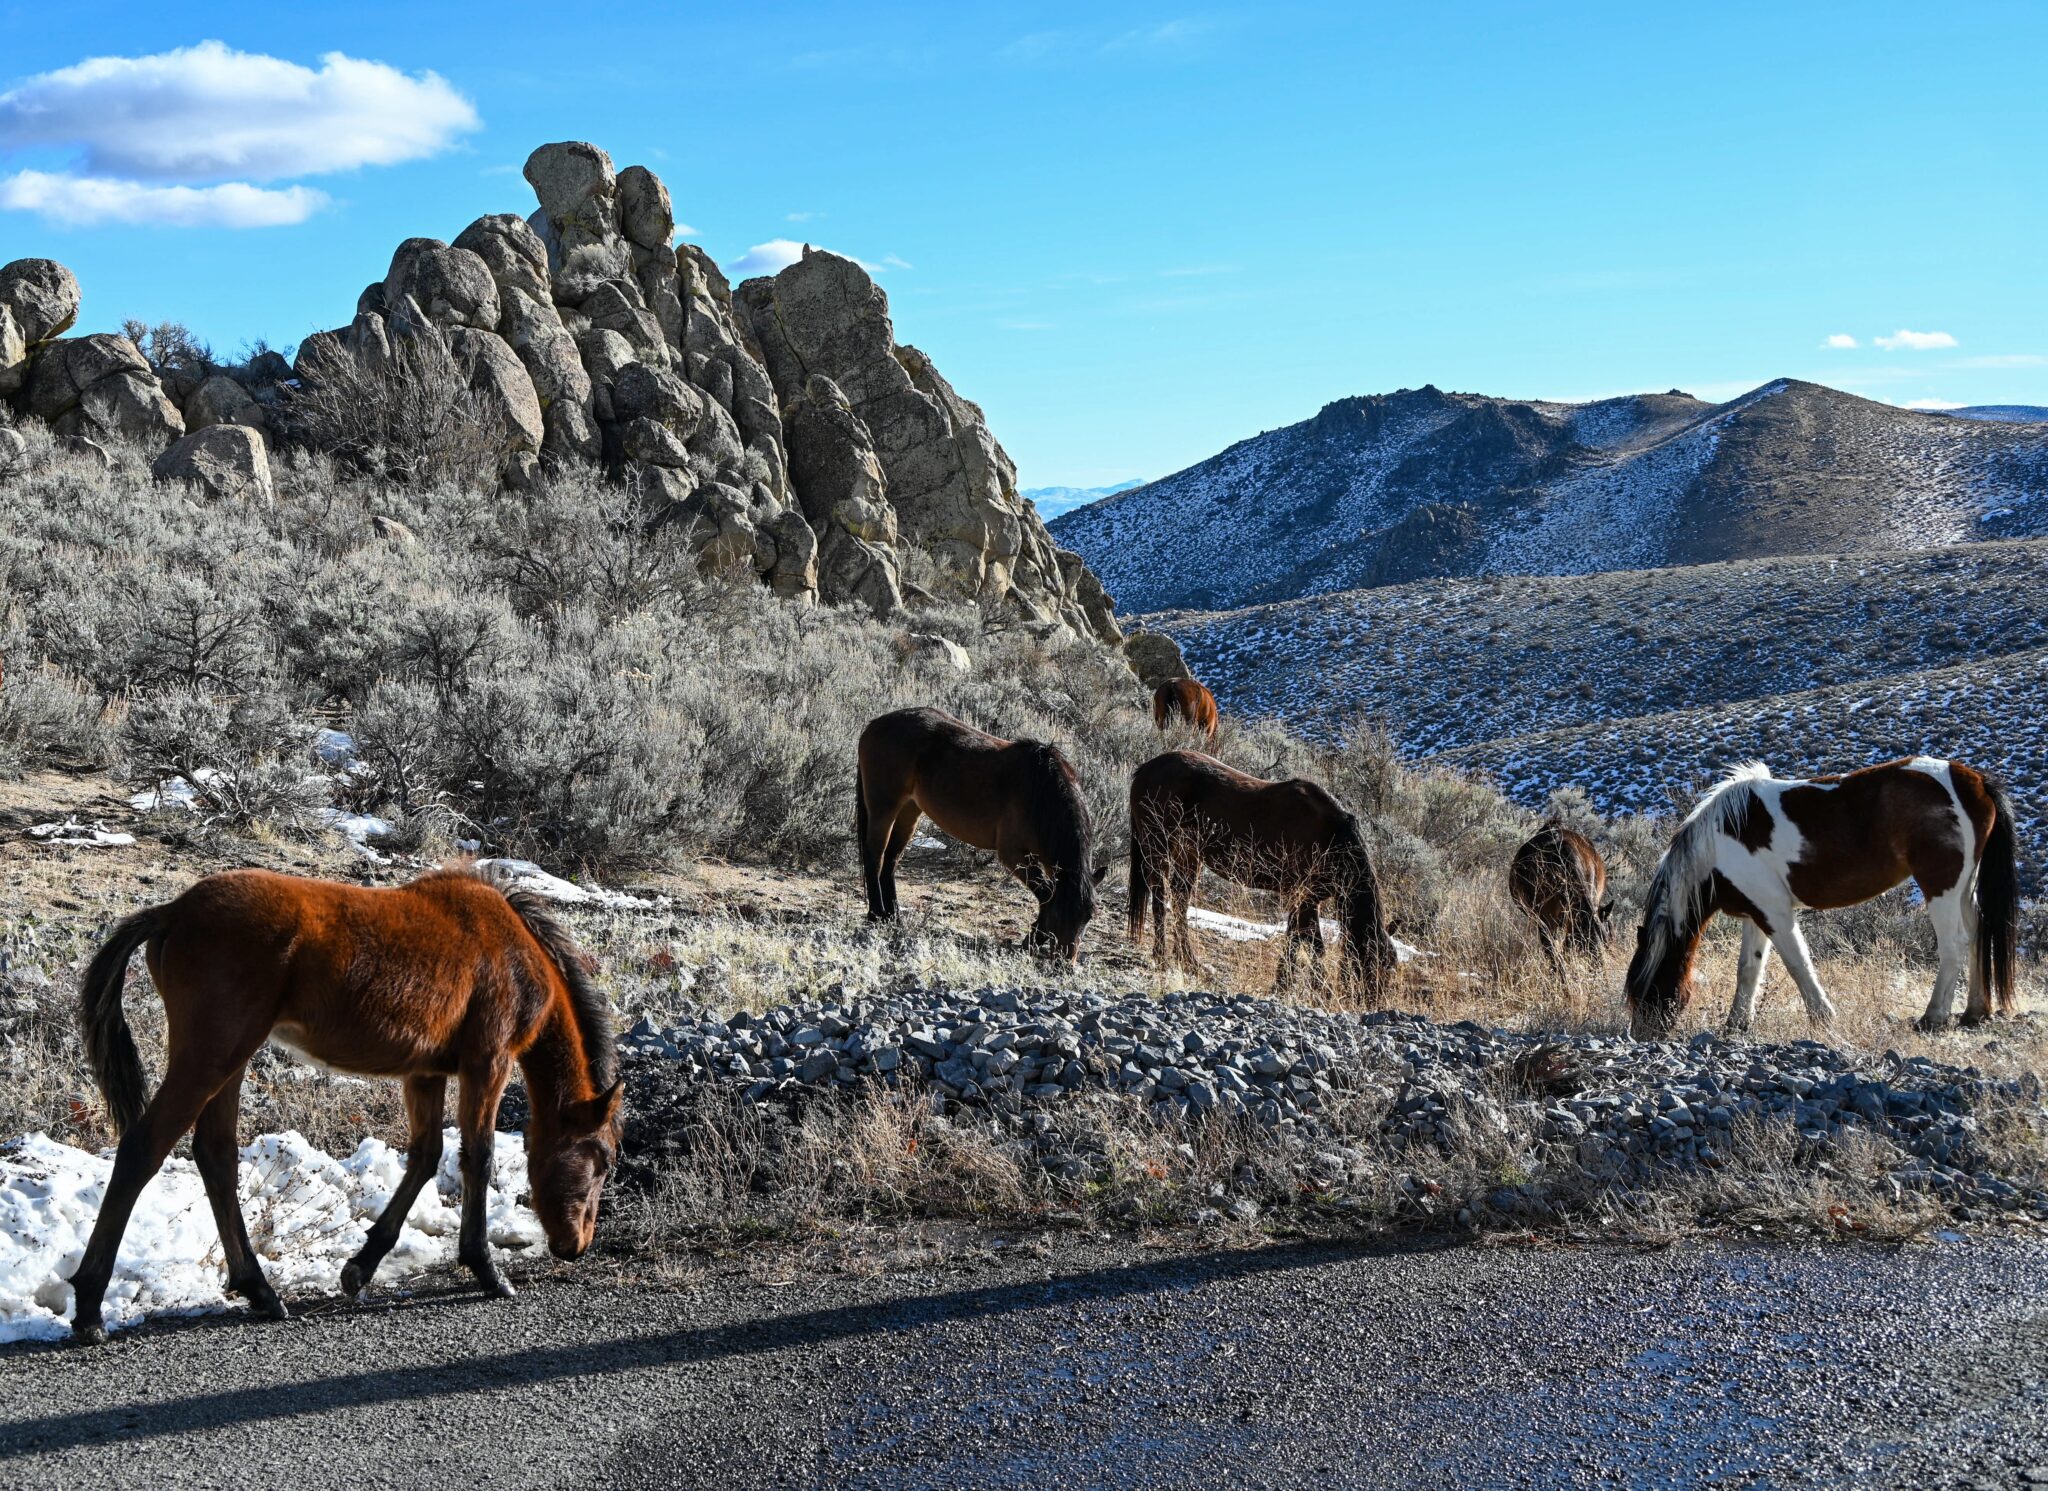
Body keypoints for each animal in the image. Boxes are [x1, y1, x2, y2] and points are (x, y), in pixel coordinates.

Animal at [68, 860, 618, 1343]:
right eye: (604, 1159)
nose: (577, 1245)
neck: (511, 946)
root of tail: (173, 911)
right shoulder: (489, 1062)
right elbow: (476, 1158)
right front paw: (485, 1269)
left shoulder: (425, 1072)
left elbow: (426, 1155)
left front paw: (361, 1266)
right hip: (211, 1055)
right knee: (144, 1149)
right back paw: (90, 1308)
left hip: (229, 1059)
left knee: (215, 1155)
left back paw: (260, 1291)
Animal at [851, 708, 1105, 954]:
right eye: (1060, 914)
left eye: (1088, 917)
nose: (1065, 962)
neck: (1041, 792)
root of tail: (874, 725)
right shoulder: (1013, 854)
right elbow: (1046, 894)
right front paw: (1034, 938)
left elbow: (1047, 892)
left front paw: (1034, 937)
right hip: (883, 807)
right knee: (875, 855)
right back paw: (875, 915)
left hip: (909, 810)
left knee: (891, 859)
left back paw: (893, 916)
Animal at [1130, 745, 1400, 1003]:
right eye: (1373, 964)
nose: (1371, 1001)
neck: (1331, 836)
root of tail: (1145, 769)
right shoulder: (1303, 896)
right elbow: (1313, 944)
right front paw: (1319, 989)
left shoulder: (1306, 898)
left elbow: (1295, 938)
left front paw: (1285, 983)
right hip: (1158, 846)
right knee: (1159, 899)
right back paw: (1162, 958)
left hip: (1188, 854)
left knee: (1180, 902)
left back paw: (1190, 962)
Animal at [1622, 757, 2023, 1036]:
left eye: (1647, 989)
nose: (1644, 1035)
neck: (1721, 842)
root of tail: (1973, 781)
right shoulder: (1756, 913)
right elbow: (1749, 969)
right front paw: (1736, 1024)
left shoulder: (1776, 914)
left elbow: (1798, 963)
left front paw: (1823, 1017)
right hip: (1965, 886)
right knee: (1978, 935)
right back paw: (1974, 1013)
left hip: (1941, 886)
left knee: (1954, 945)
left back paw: (1933, 1017)